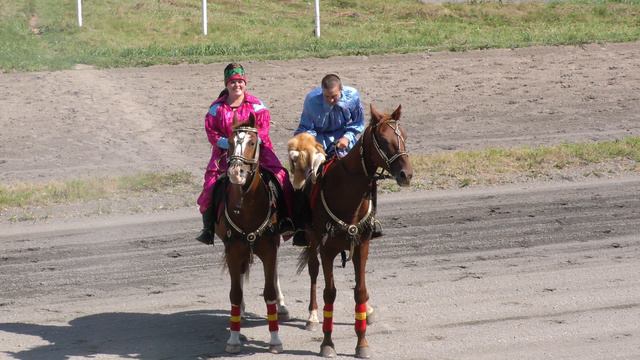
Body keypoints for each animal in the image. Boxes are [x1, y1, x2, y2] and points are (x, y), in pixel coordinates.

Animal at [215, 114, 290, 352]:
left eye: (252, 142)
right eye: (230, 142)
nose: (236, 173)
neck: (247, 205)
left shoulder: (269, 250)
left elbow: (269, 293)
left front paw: (275, 339)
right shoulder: (233, 251)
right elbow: (235, 294)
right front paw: (233, 338)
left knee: (274, 275)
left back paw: (282, 305)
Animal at [298, 104, 412, 358]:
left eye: (404, 136)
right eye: (383, 140)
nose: (406, 174)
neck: (346, 190)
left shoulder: (362, 246)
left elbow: (360, 291)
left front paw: (362, 343)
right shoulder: (327, 249)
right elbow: (329, 293)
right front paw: (327, 343)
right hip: (312, 240)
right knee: (313, 271)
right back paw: (312, 316)